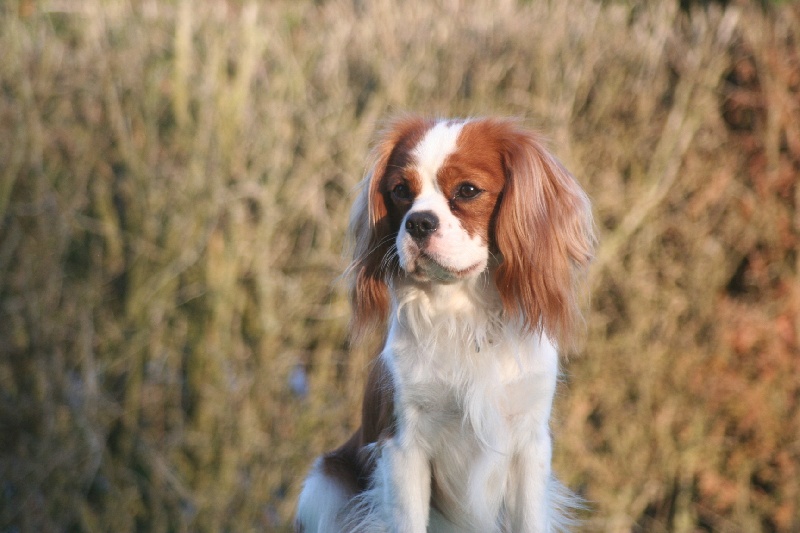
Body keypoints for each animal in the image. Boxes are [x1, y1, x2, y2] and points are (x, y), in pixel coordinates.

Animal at [296, 114, 592, 528]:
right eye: (400, 191)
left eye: (467, 190)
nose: (419, 222)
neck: (464, 314)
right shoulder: (403, 447)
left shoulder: (529, 446)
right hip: (323, 485)